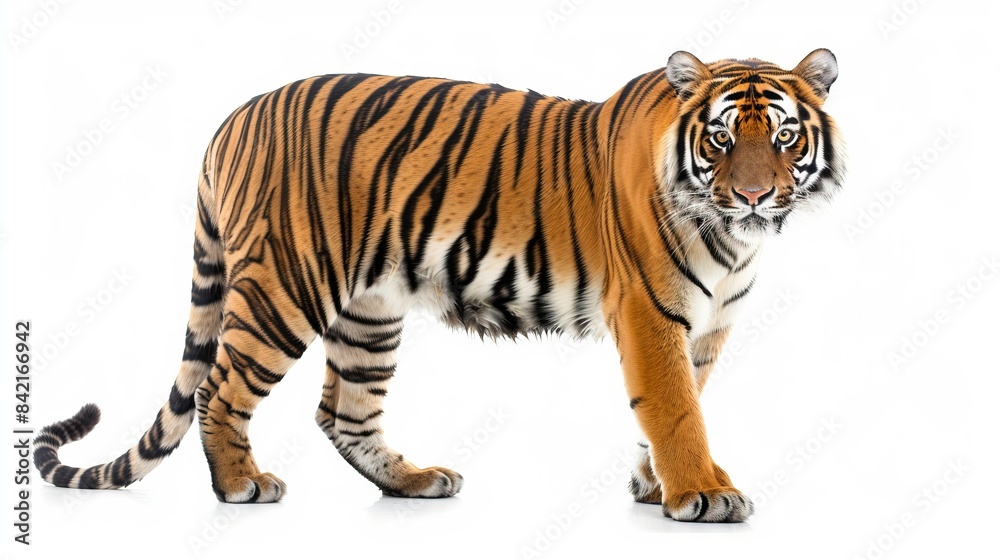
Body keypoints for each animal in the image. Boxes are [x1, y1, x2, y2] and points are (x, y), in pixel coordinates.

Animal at [34, 48, 844, 523]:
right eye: (720, 138)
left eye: (783, 137)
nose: (753, 196)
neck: (734, 240)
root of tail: (232, 119)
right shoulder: (651, 315)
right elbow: (675, 409)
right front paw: (701, 493)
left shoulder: (707, 327)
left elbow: (682, 403)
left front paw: (655, 487)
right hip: (283, 289)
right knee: (218, 388)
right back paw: (241, 486)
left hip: (369, 311)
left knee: (343, 412)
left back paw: (413, 482)